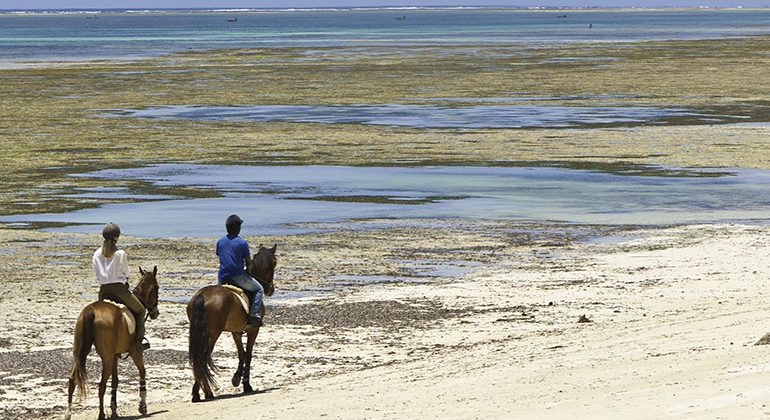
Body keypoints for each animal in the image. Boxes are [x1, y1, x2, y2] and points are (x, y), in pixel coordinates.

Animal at [67, 268, 160, 420]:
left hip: (80, 353)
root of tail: (90, 310)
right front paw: (142, 406)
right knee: (101, 385)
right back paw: (101, 415)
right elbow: (142, 372)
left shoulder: (116, 355)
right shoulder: (135, 351)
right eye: (157, 287)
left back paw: (68, 414)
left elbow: (115, 381)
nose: (155, 313)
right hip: (107, 357)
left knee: (72, 380)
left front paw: (114, 409)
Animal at [187, 244, 276, 402]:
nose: (271, 289)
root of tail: (201, 296)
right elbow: (249, 355)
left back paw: (198, 393)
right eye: (274, 263)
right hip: (212, 334)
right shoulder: (253, 330)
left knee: (197, 359)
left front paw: (236, 379)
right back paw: (206, 393)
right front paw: (246, 385)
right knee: (202, 358)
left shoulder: (236, 331)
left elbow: (242, 353)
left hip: (197, 334)